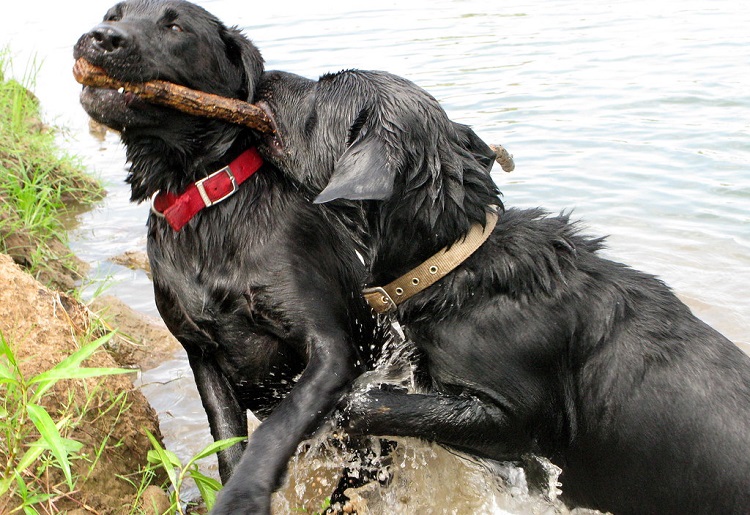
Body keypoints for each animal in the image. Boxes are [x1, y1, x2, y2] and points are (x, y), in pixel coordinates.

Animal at [74, 2, 388, 512]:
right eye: (114, 14)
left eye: (174, 24)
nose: (101, 37)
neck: (207, 208)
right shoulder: (202, 355)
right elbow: (226, 444)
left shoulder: (332, 349)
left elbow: (279, 425)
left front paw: (245, 491)